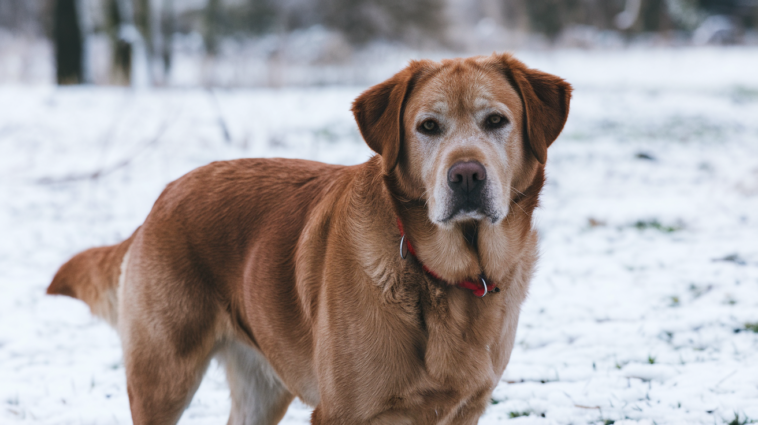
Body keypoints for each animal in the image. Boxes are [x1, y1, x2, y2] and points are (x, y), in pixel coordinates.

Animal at [47, 53, 568, 424]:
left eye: (496, 121)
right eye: (428, 127)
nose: (466, 175)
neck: (446, 275)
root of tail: (163, 197)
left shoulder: (465, 410)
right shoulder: (343, 413)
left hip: (261, 385)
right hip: (163, 377)